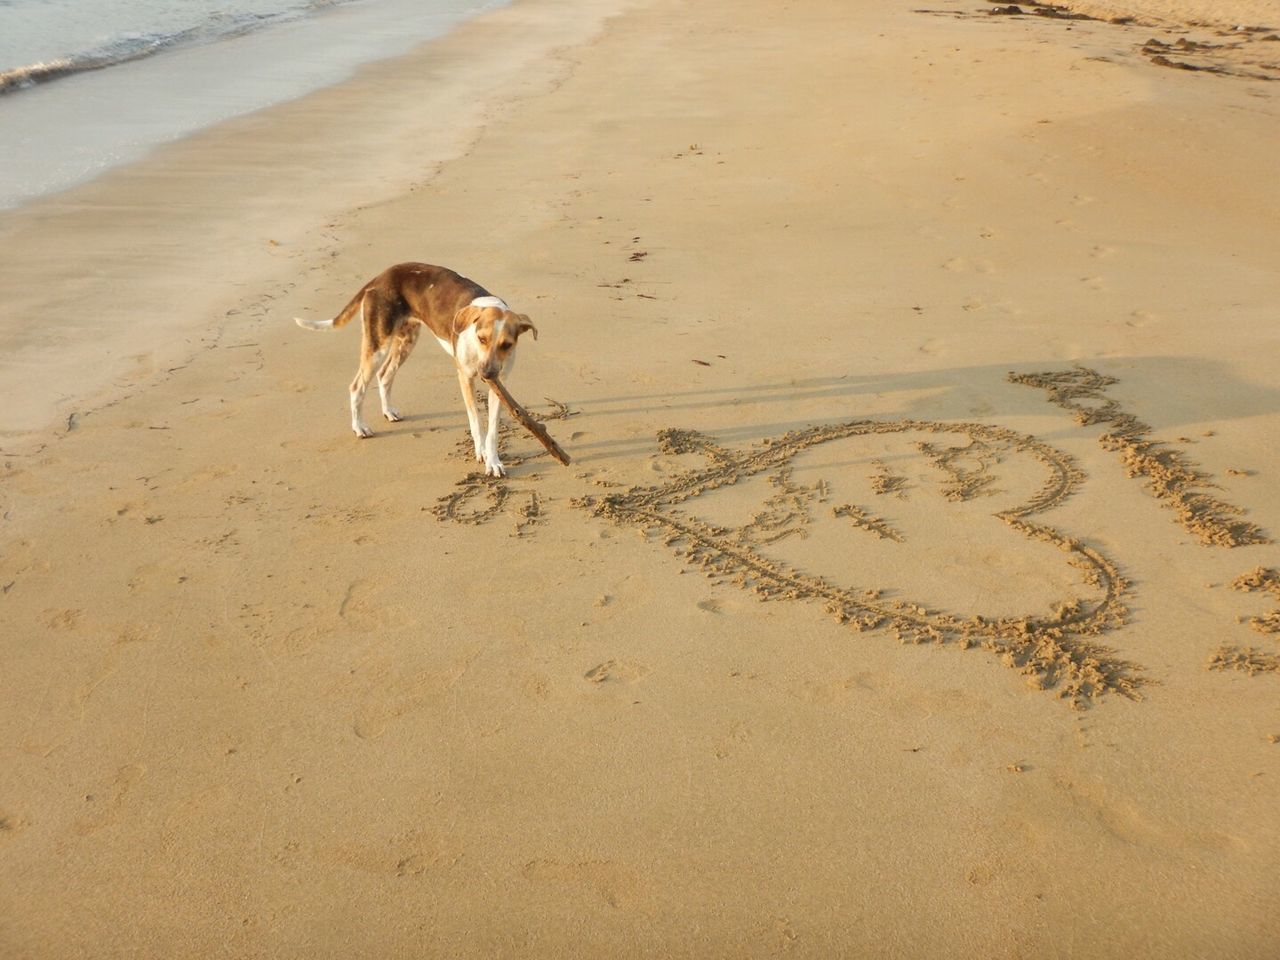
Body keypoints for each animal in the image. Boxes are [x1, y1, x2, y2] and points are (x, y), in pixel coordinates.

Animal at [294, 263, 535, 478]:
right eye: (481, 338)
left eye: (507, 345)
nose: (486, 374)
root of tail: (379, 277)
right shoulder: (465, 378)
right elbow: (475, 421)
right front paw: (482, 453)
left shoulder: (499, 384)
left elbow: (493, 430)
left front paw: (493, 462)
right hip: (378, 345)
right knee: (357, 386)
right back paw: (359, 427)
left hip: (406, 340)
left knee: (385, 375)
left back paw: (388, 412)